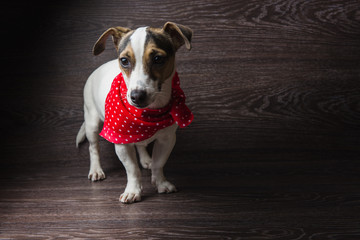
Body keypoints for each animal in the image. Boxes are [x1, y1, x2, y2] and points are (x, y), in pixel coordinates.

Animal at [76, 22, 194, 202]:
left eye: (158, 59)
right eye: (124, 60)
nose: (137, 96)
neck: (148, 113)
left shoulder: (167, 139)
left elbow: (159, 163)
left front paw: (161, 183)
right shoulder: (121, 143)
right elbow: (132, 169)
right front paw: (133, 191)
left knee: (140, 144)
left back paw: (146, 159)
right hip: (92, 123)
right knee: (93, 147)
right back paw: (96, 169)